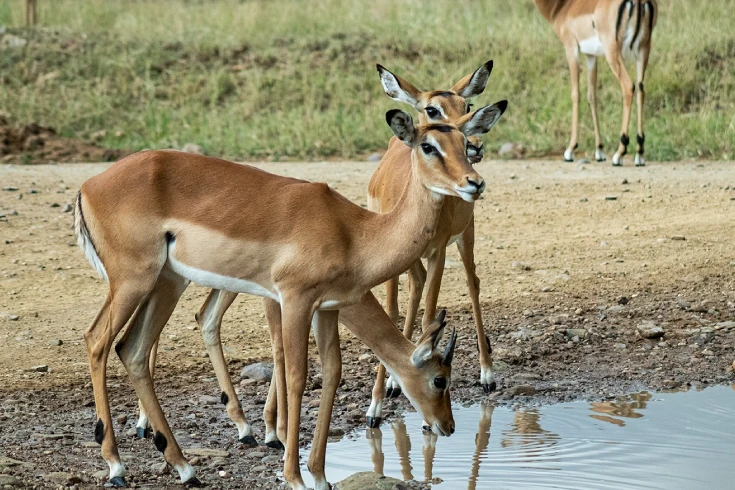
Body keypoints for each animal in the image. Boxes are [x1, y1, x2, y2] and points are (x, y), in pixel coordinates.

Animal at [75, 105, 505, 489]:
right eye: (438, 379)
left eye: (465, 143)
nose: (447, 425)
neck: (353, 232)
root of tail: (88, 186)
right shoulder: (295, 299)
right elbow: (297, 376)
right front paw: (294, 475)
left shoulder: (327, 307)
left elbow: (332, 373)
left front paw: (320, 477)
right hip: (133, 281)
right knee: (97, 340)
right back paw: (117, 467)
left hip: (167, 283)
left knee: (132, 349)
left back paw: (185, 468)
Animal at [366, 62, 502, 430]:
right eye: (432, 109)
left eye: (467, 105)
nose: (474, 146)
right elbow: (394, 310)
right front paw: (376, 405)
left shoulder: (438, 252)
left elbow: (430, 314)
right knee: (415, 288)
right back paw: (393, 383)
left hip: (466, 236)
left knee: (472, 283)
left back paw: (487, 375)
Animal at [534, 0, 657, 166]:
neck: (563, 7)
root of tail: (638, 2)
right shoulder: (591, 55)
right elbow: (592, 96)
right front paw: (600, 151)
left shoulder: (571, 49)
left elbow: (576, 95)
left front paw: (570, 150)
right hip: (643, 51)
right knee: (641, 91)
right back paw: (639, 154)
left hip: (613, 52)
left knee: (628, 87)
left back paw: (619, 154)